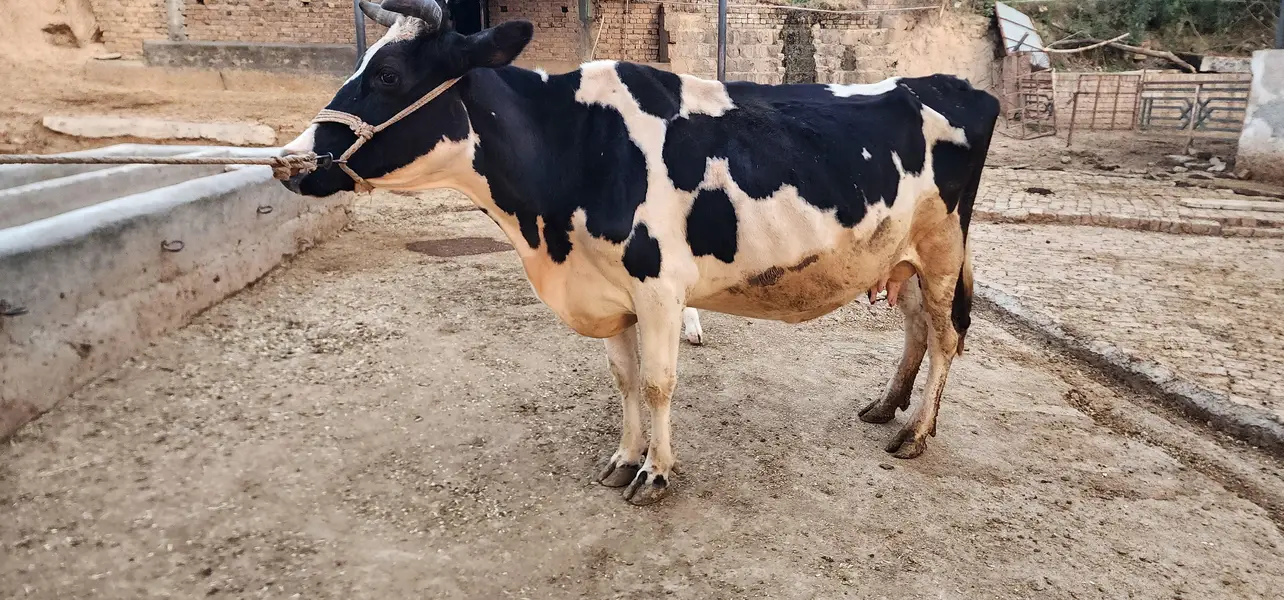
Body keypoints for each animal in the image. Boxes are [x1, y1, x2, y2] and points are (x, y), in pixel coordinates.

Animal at [278, 0, 1000, 506]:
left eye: (389, 74)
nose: (292, 160)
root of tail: (958, 85)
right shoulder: (609, 293)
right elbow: (624, 380)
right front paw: (624, 458)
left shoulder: (658, 288)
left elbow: (657, 383)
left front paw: (655, 473)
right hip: (900, 253)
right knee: (915, 327)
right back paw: (886, 405)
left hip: (941, 249)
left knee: (945, 336)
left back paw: (915, 433)